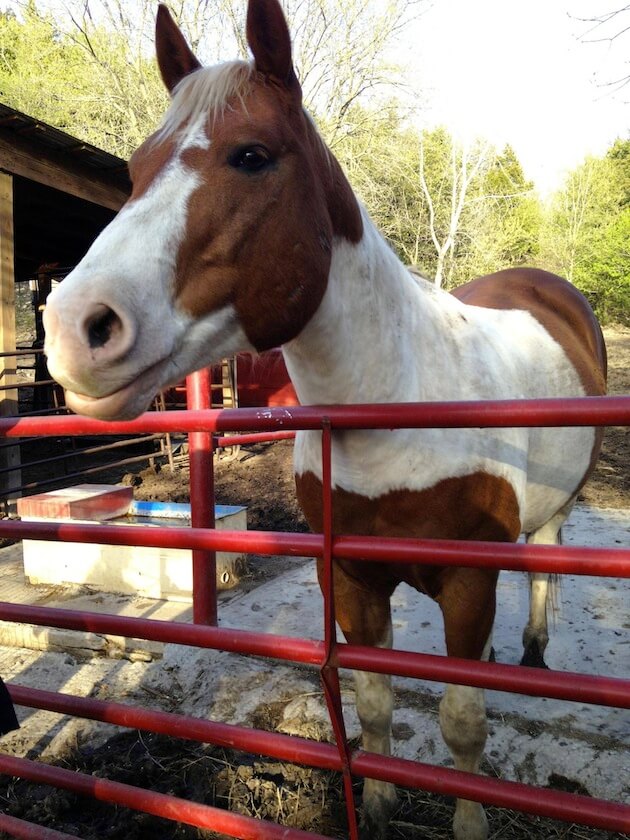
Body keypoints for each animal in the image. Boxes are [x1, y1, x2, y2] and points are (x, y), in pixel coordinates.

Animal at [42, 3, 608, 836]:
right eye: (137, 169)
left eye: (251, 155)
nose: (74, 329)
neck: (393, 404)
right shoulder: (350, 578)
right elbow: (371, 709)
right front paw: (375, 806)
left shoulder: (469, 584)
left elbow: (463, 725)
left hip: (554, 511)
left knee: (548, 555)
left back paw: (536, 648)